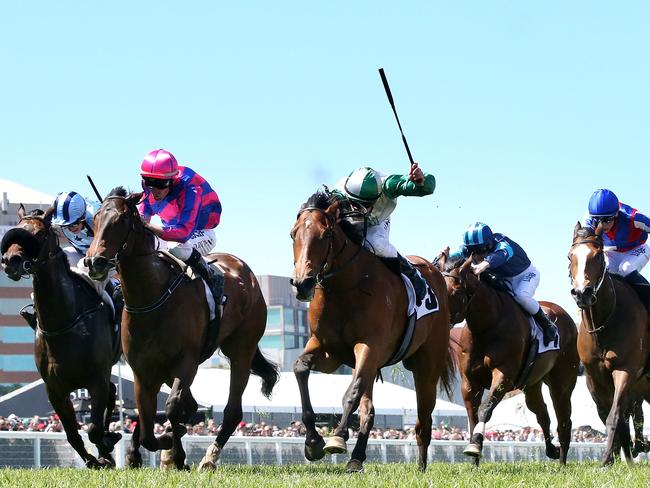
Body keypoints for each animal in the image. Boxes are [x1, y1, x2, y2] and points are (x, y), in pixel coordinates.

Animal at [0, 204, 120, 468]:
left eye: (40, 234)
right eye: (18, 228)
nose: (10, 261)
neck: (65, 321)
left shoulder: (96, 379)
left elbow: (94, 429)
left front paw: (107, 446)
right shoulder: (54, 389)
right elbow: (72, 433)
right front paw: (94, 459)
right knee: (113, 392)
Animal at [82, 187, 278, 468]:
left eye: (120, 220)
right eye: (95, 219)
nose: (94, 262)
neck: (152, 295)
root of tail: (244, 270)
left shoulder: (186, 363)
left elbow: (172, 408)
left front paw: (177, 454)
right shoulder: (143, 371)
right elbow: (145, 422)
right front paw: (144, 451)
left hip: (241, 349)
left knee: (231, 410)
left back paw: (209, 457)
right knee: (192, 406)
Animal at [288, 191, 450, 472]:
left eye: (325, 234)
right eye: (292, 234)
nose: (303, 283)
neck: (347, 286)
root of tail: (435, 271)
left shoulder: (370, 347)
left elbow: (351, 393)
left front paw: (337, 438)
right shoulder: (328, 351)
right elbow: (300, 368)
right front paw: (313, 442)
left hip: (426, 367)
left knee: (423, 419)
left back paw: (420, 466)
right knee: (370, 409)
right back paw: (356, 458)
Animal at [436, 252, 576, 466]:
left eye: (456, 290)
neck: (487, 326)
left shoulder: (504, 376)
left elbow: (485, 409)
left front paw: (475, 446)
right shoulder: (469, 382)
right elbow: (472, 416)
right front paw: (474, 459)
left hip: (562, 383)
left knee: (563, 420)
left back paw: (562, 461)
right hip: (532, 384)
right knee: (542, 413)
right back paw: (552, 450)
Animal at [564, 221, 648, 466]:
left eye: (598, 255)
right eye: (570, 256)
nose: (582, 292)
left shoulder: (625, 370)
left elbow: (614, 415)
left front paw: (607, 460)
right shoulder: (594, 377)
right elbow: (609, 415)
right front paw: (613, 458)